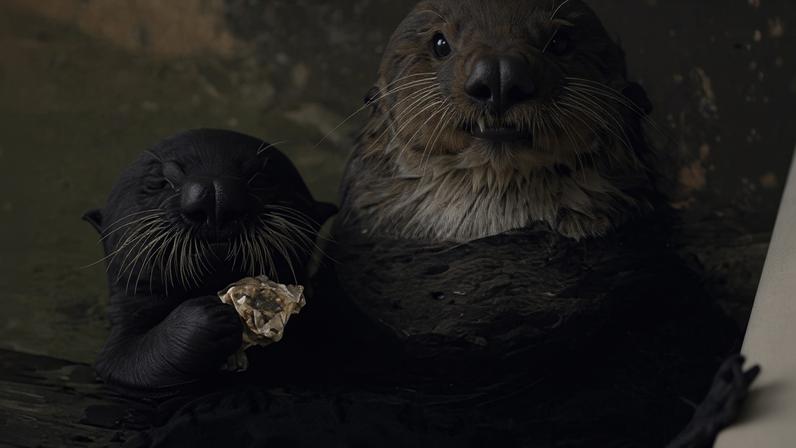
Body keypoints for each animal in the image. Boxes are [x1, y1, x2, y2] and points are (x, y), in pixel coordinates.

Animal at [84, 129, 336, 392]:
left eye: (260, 178)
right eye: (160, 181)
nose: (216, 193)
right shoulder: (114, 357)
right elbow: (128, 362)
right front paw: (211, 314)